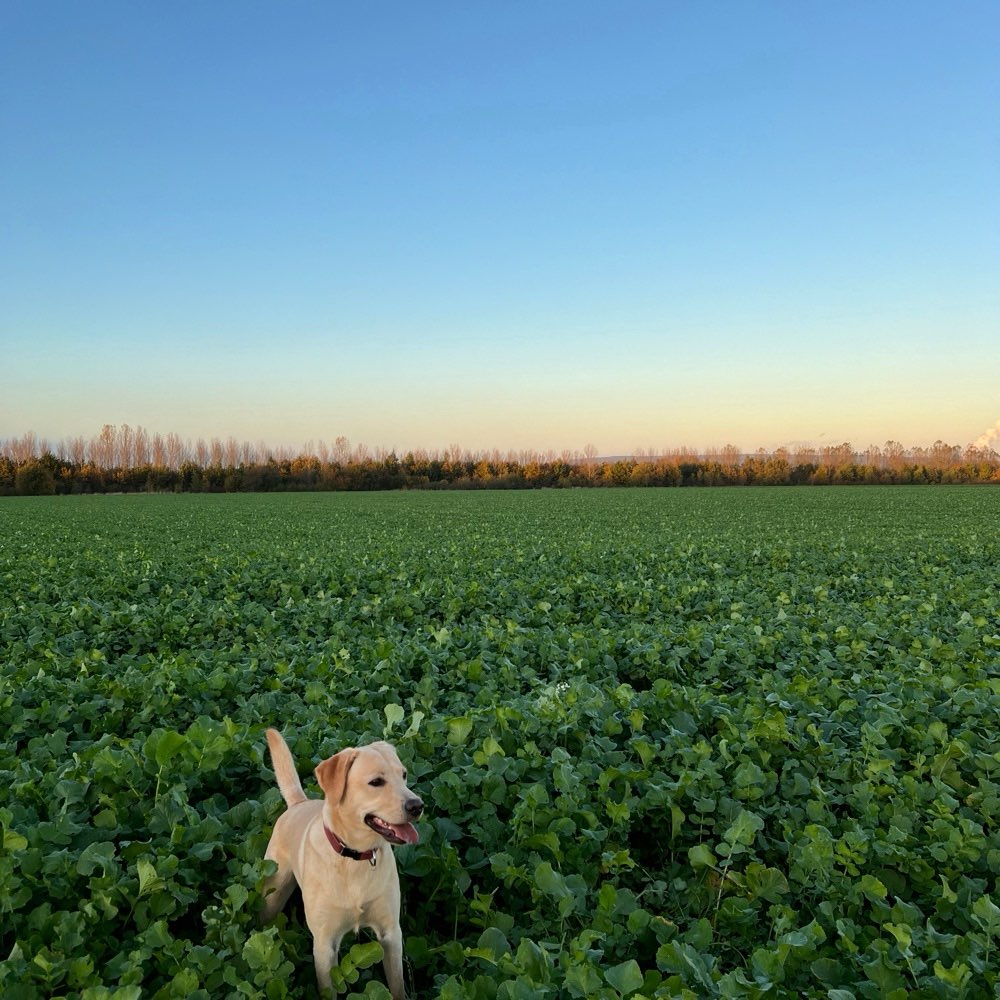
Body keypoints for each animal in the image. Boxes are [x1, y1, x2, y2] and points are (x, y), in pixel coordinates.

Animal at [262, 728, 422, 1000]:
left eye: (404, 775)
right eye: (376, 782)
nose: (417, 805)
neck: (356, 857)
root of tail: (298, 803)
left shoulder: (391, 933)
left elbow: (397, 984)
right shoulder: (324, 944)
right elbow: (329, 989)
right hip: (273, 894)